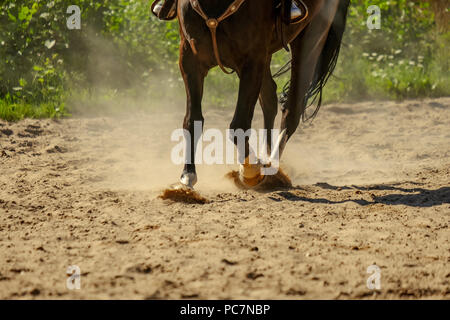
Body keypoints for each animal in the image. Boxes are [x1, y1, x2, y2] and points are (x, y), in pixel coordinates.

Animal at [171, 0, 350, 189]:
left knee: (292, 111)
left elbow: (239, 125)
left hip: (311, 38)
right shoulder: (189, 59)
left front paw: (250, 171)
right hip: (267, 55)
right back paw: (266, 157)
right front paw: (187, 175)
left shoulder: (252, 60)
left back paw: (272, 168)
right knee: (270, 98)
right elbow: (192, 119)